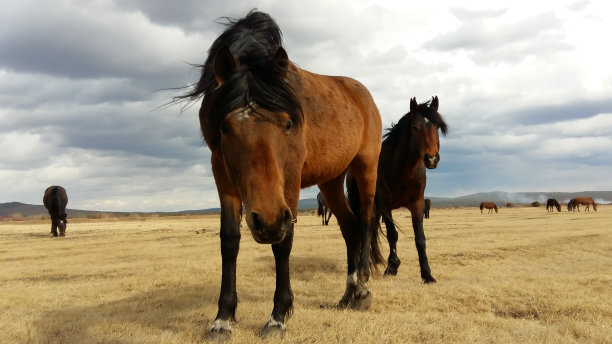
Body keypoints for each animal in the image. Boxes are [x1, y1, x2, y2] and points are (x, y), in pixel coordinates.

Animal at [173, 10, 382, 336]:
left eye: (288, 123)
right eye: (225, 127)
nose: (268, 221)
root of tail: (361, 93)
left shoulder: (291, 180)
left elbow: (283, 244)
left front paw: (277, 316)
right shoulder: (222, 173)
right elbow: (229, 240)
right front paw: (222, 318)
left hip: (365, 166)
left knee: (367, 220)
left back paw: (361, 290)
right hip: (331, 181)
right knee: (350, 227)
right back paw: (347, 295)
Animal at [346, 97, 448, 280]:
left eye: (436, 127)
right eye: (415, 128)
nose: (431, 159)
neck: (402, 170)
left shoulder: (417, 203)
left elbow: (420, 238)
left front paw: (427, 274)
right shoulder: (385, 204)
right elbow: (392, 235)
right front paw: (392, 266)